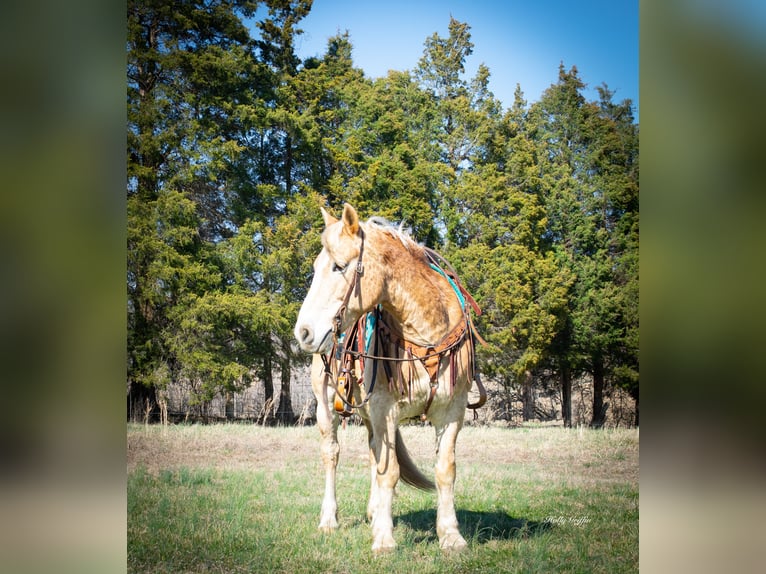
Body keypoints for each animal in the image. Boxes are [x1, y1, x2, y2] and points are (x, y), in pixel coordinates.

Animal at [296, 205, 486, 556]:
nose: (303, 332)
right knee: (332, 453)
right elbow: (390, 471)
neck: (426, 332)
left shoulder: (451, 411)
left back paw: (373, 512)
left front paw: (450, 535)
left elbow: (444, 470)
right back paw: (329, 519)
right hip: (326, 403)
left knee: (374, 453)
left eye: (339, 266)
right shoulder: (386, 408)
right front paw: (384, 539)